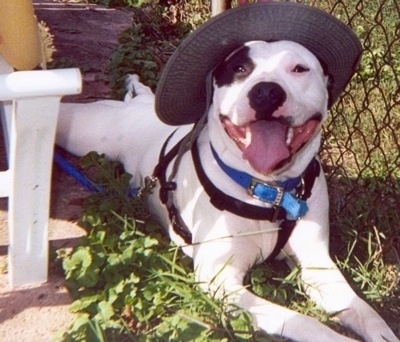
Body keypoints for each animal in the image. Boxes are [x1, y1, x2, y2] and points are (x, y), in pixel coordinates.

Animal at [56, 39, 400, 340]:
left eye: (299, 68)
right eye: (239, 68)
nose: (266, 92)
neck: (268, 192)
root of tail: (139, 108)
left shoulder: (318, 265)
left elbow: (365, 312)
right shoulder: (220, 279)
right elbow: (301, 321)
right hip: (79, 127)